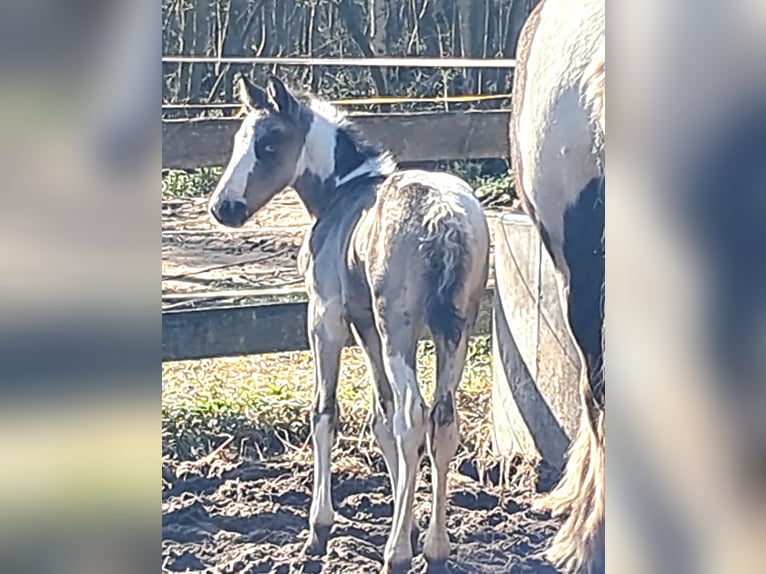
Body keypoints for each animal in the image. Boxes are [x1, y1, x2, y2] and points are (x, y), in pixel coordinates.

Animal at [207, 74, 490, 573]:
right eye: (239, 139)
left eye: (268, 143)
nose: (224, 207)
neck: (342, 195)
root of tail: (447, 220)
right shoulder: (366, 327)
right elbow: (381, 416)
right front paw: (407, 524)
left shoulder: (326, 317)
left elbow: (326, 411)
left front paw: (318, 531)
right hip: (454, 330)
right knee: (441, 420)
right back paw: (434, 550)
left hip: (400, 328)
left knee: (414, 416)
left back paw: (396, 555)